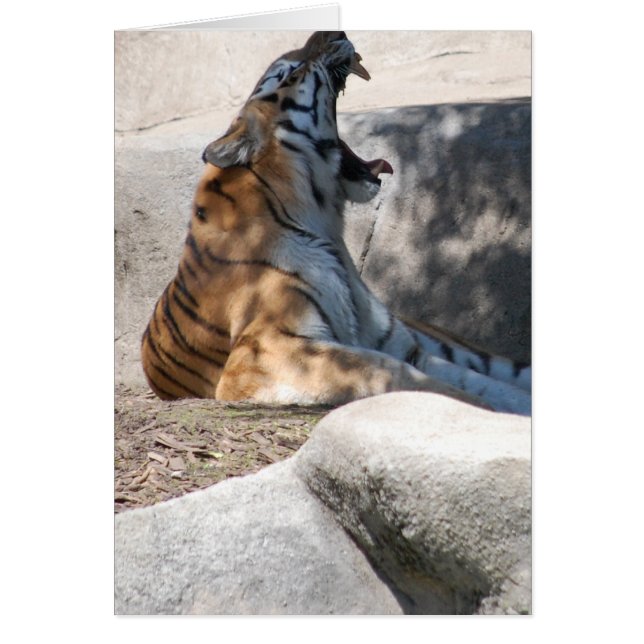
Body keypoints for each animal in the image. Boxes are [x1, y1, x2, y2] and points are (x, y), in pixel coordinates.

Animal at [141, 31, 531, 415]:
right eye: (290, 73)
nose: (336, 32)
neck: (324, 225)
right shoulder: (264, 350)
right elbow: (389, 371)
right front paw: (482, 409)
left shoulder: (402, 344)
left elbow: (476, 381)